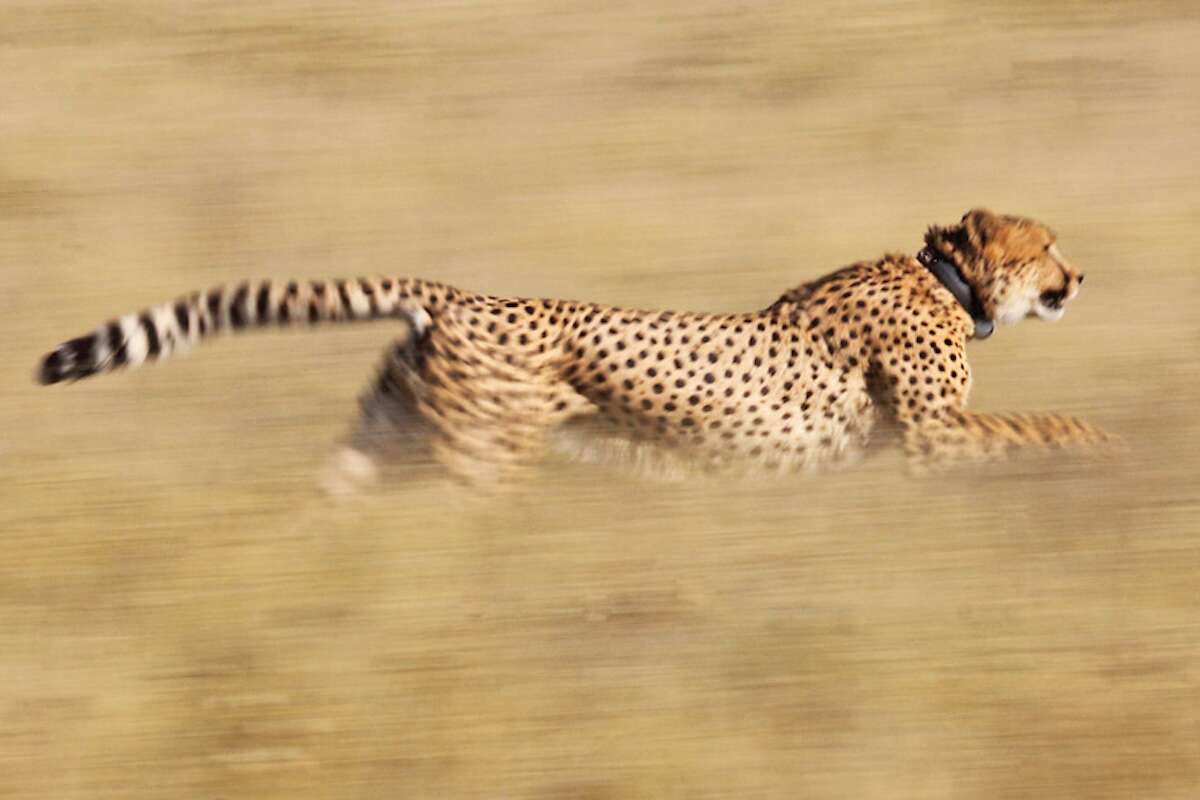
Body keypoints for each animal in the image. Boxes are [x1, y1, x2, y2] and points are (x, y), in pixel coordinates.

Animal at [37, 206, 1113, 484]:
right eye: (1048, 245)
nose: (1081, 277)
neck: (946, 281)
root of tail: (457, 293)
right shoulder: (929, 432)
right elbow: (1043, 422)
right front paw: (1110, 446)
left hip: (389, 437)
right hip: (480, 456)